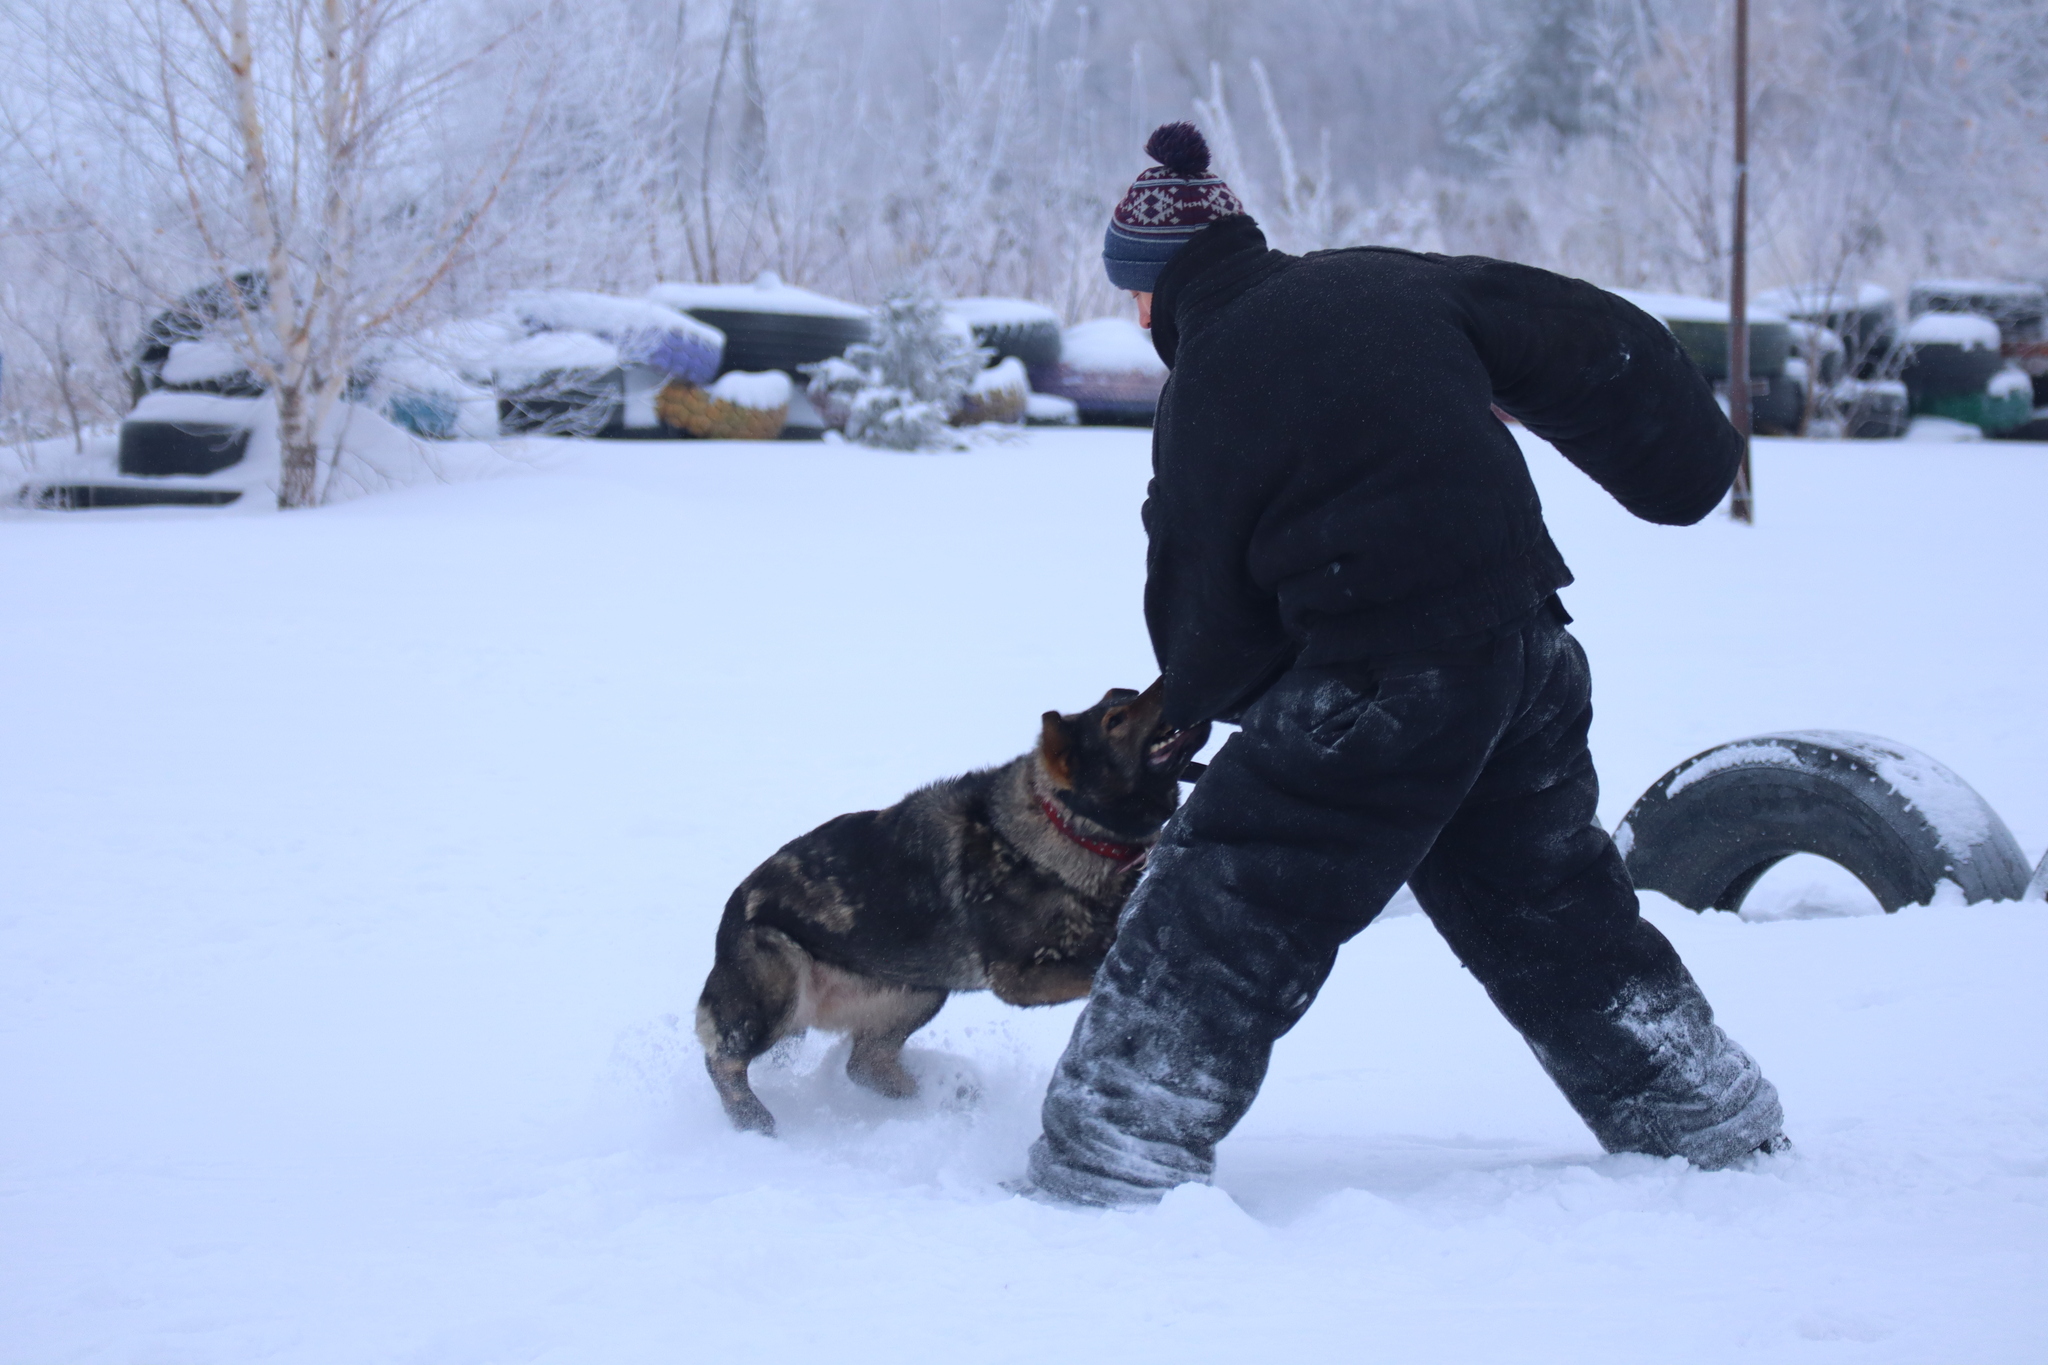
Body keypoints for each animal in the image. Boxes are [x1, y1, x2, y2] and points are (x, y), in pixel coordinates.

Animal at [696, 679, 1204, 1137]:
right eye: (1116, 720)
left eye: (1130, 699)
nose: (1173, 679)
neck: (1067, 826)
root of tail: (729, 915)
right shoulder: (1017, 979)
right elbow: (1096, 968)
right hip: (781, 991)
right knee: (722, 1057)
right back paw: (750, 1119)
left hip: (919, 992)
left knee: (865, 1064)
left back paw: (932, 1100)